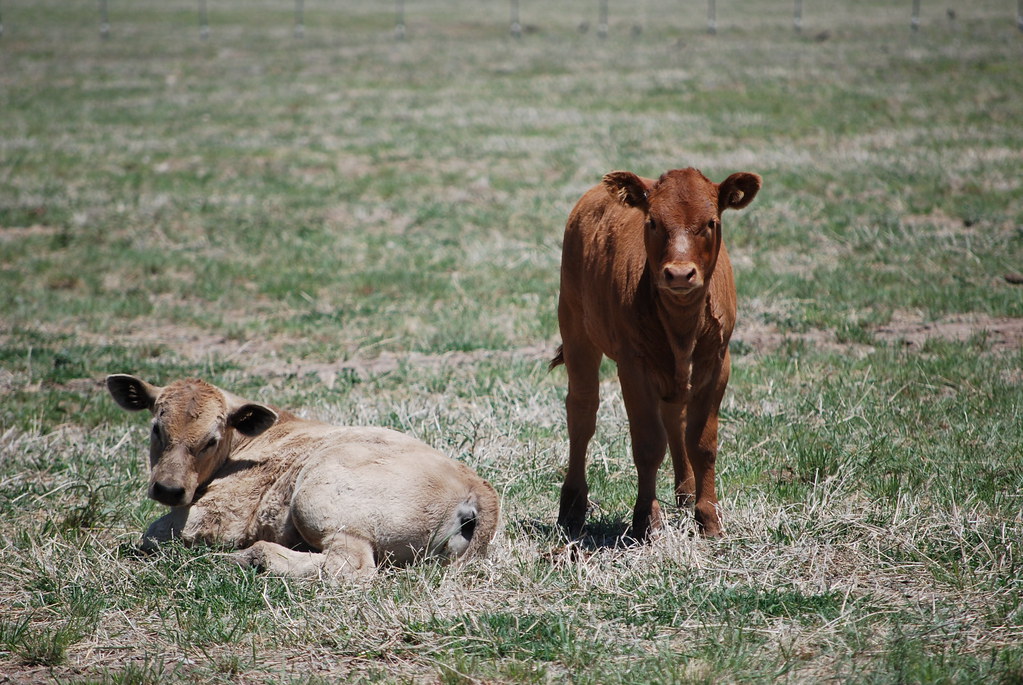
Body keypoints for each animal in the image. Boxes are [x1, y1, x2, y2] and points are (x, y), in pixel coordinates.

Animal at [106, 374, 500, 579]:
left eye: (211, 440)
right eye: (156, 428)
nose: (168, 489)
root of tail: (475, 485)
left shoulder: (219, 514)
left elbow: (154, 533)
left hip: (323, 504)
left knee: (350, 567)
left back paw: (247, 558)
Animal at [550, 167, 761, 541]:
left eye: (711, 222)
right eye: (652, 222)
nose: (679, 273)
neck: (682, 327)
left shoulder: (718, 363)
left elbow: (702, 442)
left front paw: (708, 516)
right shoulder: (633, 368)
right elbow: (648, 444)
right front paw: (646, 519)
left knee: (674, 417)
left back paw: (686, 491)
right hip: (575, 329)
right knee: (582, 413)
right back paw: (572, 506)